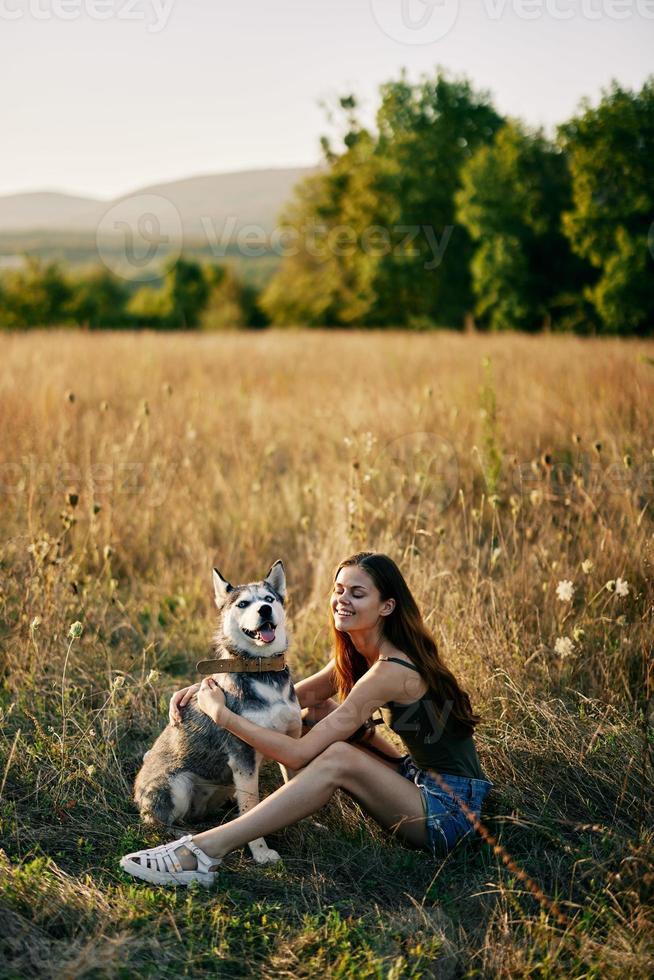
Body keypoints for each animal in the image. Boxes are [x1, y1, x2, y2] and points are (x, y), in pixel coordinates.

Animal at [137, 564, 306, 860]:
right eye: (243, 604)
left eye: (269, 599)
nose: (264, 610)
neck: (261, 670)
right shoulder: (243, 756)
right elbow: (251, 810)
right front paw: (261, 853)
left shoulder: (290, 742)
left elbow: (290, 787)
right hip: (177, 785)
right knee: (159, 823)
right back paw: (182, 835)